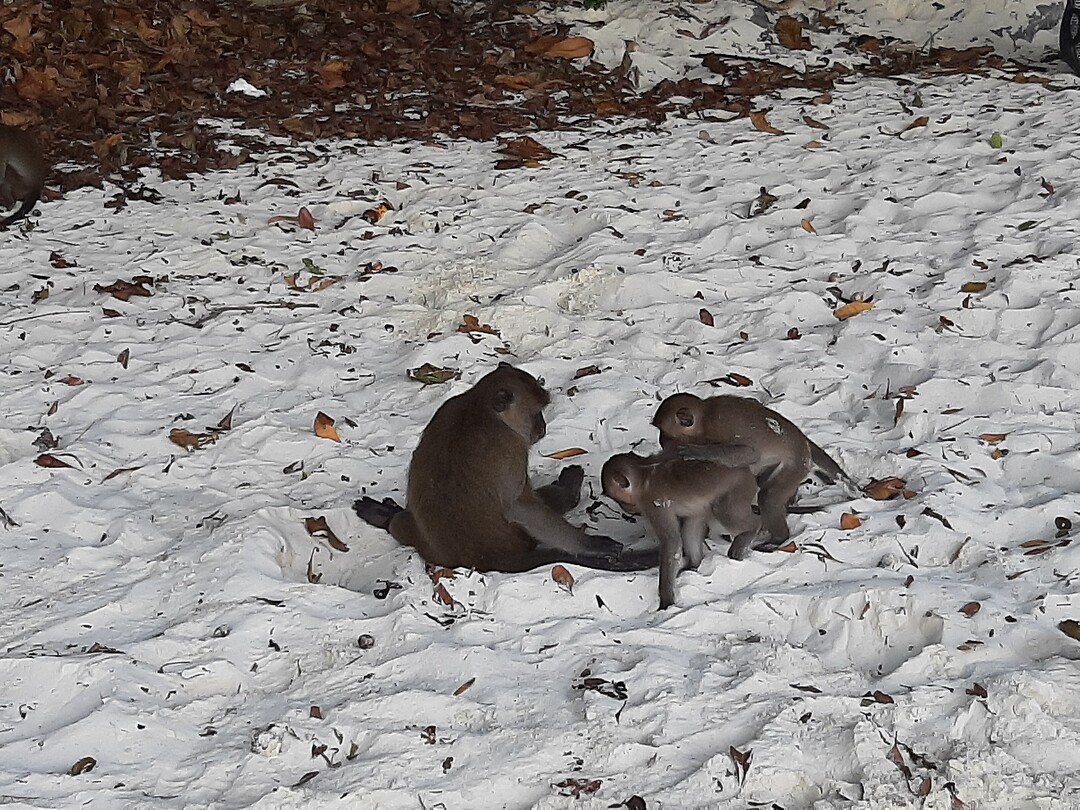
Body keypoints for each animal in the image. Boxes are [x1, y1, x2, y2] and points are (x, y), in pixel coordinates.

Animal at [354, 363, 658, 573]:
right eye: (536, 412)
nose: (542, 427)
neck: (479, 408)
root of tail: (489, 558)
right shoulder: (511, 447)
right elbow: (518, 507)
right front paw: (590, 546)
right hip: (519, 537)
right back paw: (568, 492)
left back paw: (388, 518)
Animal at [601, 449, 763, 609]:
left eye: (621, 501)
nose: (625, 508)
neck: (644, 475)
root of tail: (748, 473)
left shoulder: (655, 504)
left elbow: (671, 542)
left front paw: (666, 600)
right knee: (690, 527)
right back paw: (694, 564)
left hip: (738, 490)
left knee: (724, 512)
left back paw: (753, 529)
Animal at [652, 393, 856, 547]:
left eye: (664, 431)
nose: (661, 441)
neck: (704, 420)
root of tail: (802, 439)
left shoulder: (720, 429)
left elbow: (750, 454)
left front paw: (697, 451)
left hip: (797, 464)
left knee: (768, 495)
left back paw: (778, 538)